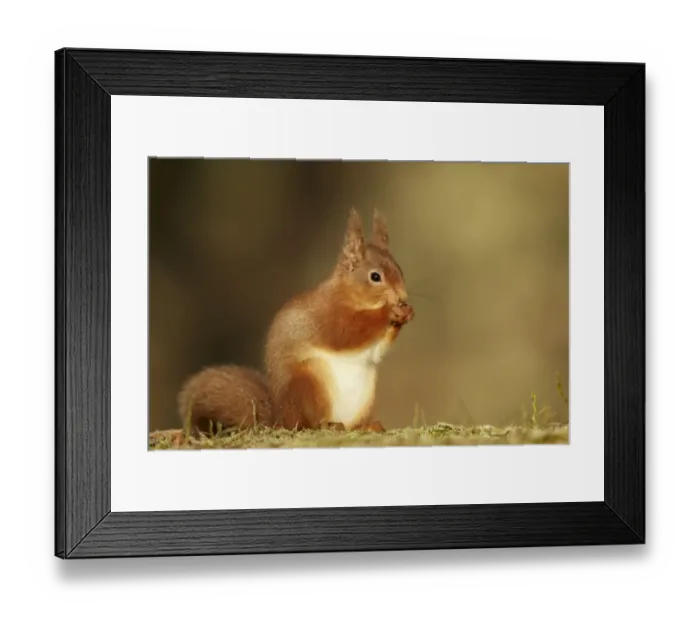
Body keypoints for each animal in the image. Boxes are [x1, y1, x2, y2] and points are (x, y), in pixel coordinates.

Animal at [177, 208, 414, 435]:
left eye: (400, 270)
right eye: (375, 277)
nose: (403, 297)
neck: (349, 295)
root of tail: (280, 420)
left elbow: (376, 351)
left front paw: (406, 313)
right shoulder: (327, 315)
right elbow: (346, 331)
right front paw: (389, 311)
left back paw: (366, 426)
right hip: (307, 384)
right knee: (306, 424)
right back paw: (327, 425)